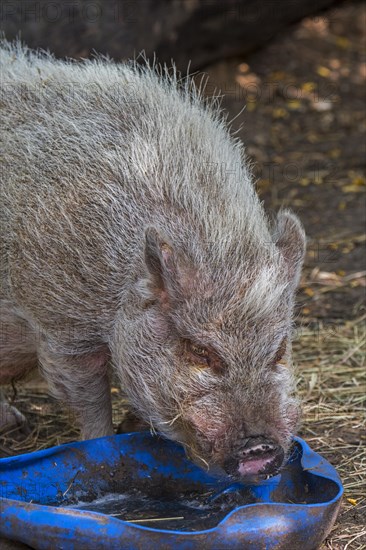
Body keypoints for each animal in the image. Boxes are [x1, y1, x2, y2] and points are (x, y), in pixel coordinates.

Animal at [0, 42, 306, 484]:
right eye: (199, 351)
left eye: (279, 350)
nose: (260, 448)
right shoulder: (61, 327)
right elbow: (87, 396)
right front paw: (104, 442)